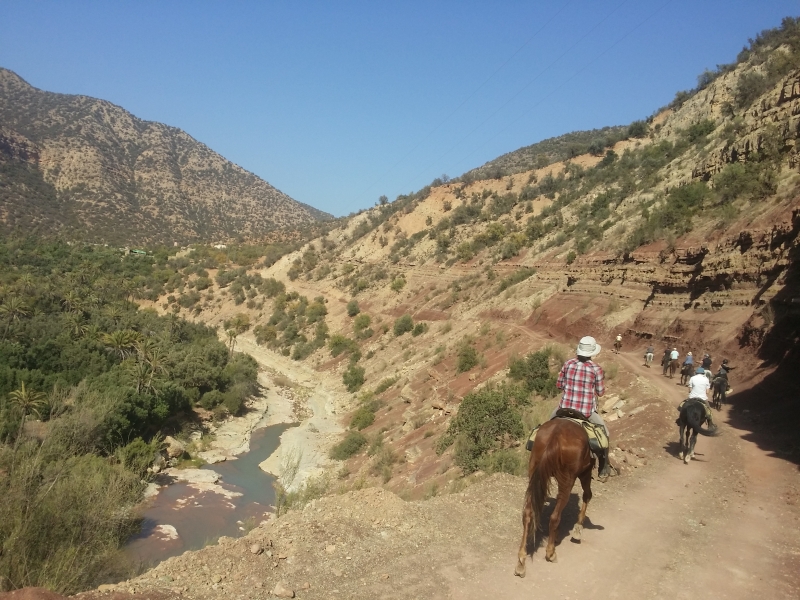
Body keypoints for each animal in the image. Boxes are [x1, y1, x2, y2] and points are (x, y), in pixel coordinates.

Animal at [512, 418, 592, 576]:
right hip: (568, 480)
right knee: (555, 516)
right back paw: (550, 553)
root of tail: (555, 435)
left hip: (535, 474)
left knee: (528, 513)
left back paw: (521, 562)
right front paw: (578, 528)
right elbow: (587, 495)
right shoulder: (586, 472)